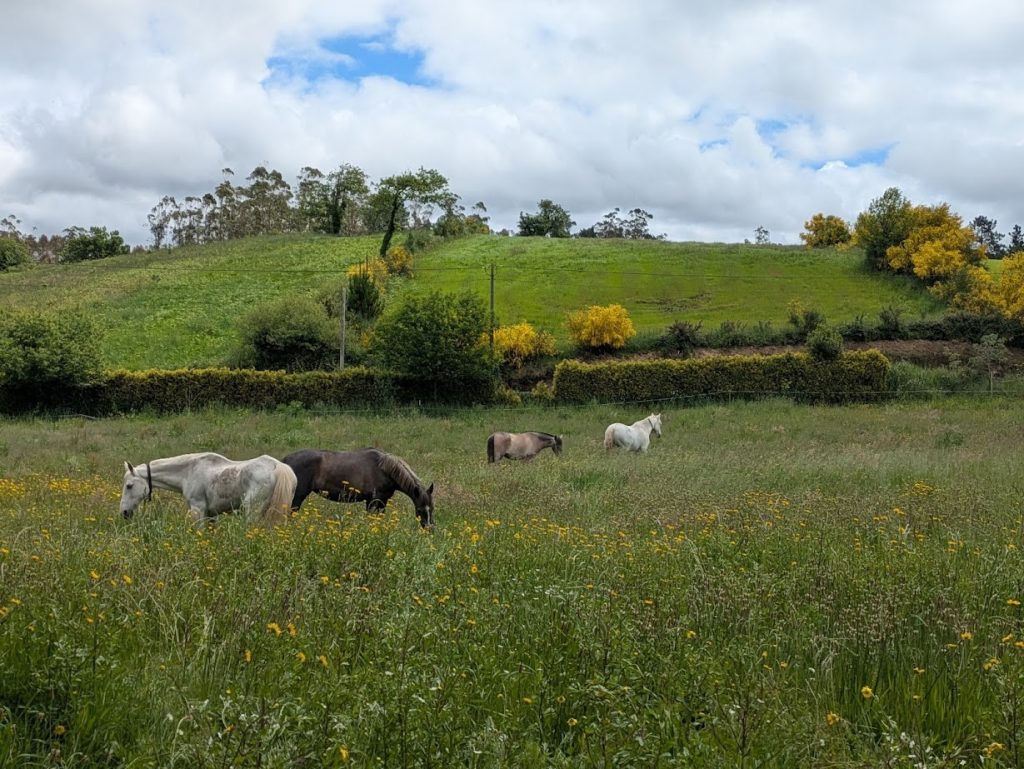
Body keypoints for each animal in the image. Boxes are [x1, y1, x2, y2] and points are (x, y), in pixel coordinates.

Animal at [119, 453, 297, 526]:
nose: (124, 513)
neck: (188, 471)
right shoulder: (212, 514)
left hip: (252, 511)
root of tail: (277, 466)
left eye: (129, 486)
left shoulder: (198, 510)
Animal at [282, 448, 435, 528]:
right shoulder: (373, 500)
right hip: (297, 496)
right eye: (420, 510)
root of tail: (285, 462)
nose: (429, 529)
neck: (383, 469)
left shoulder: (382, 501)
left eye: (432, 509)